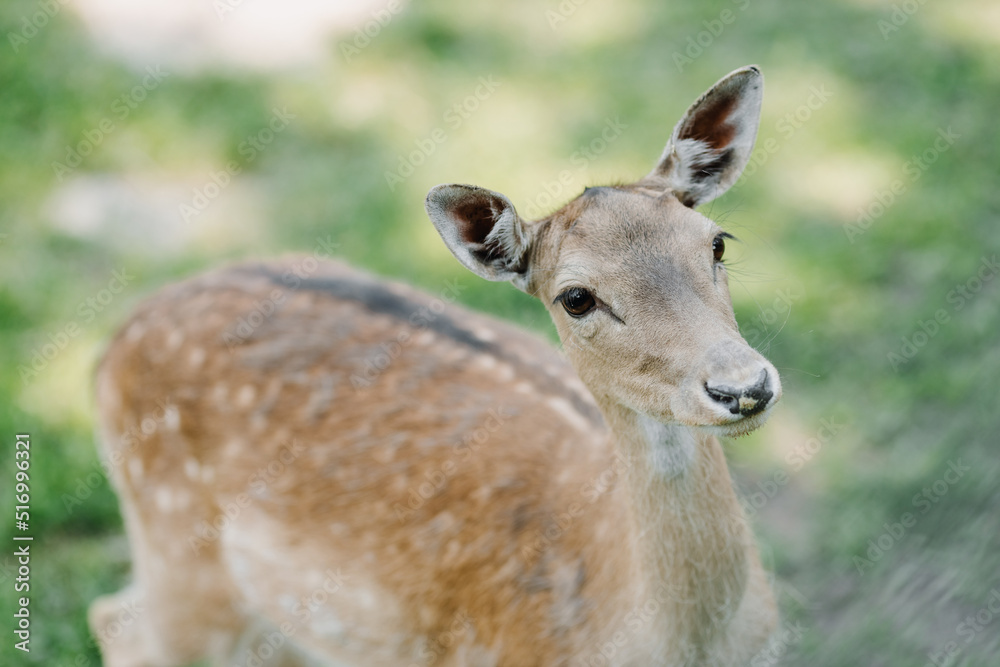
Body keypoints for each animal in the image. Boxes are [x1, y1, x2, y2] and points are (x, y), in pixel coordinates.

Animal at [90, 66, 780, 667]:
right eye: (577, 297)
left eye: (717, 243)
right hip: (177, 550)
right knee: (118, 623)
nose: (743, 387)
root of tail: (113, 341)